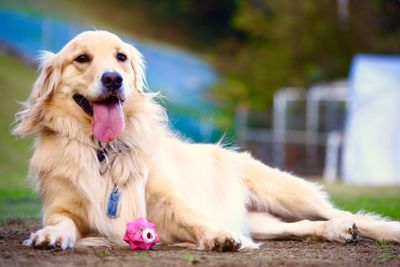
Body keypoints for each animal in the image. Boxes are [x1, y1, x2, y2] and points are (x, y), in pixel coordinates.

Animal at [13, 30, 400, 251]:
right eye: (82, 59)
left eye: (121, 57)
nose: (113, 79)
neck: (104, 150)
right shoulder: (62, 207)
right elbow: (61, 222)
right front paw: (49, 236)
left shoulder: (170, 204)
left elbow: (195, 220)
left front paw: (219, 238)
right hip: (262, 221)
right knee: (305, 227)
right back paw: (337, 232)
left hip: (287, 194)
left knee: (344, 213)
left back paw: (373, 229)